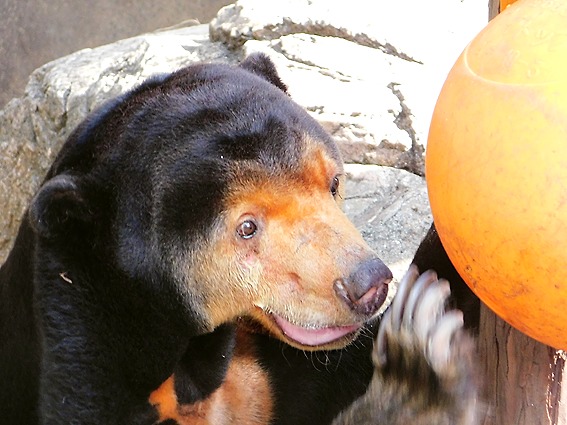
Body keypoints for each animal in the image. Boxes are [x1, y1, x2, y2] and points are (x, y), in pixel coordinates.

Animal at [0, 53, 480, 424]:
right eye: (246, 226)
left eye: (334, 182)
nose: (368, 285)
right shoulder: (79, 345)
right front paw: (416, 365)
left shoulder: (265, 371)